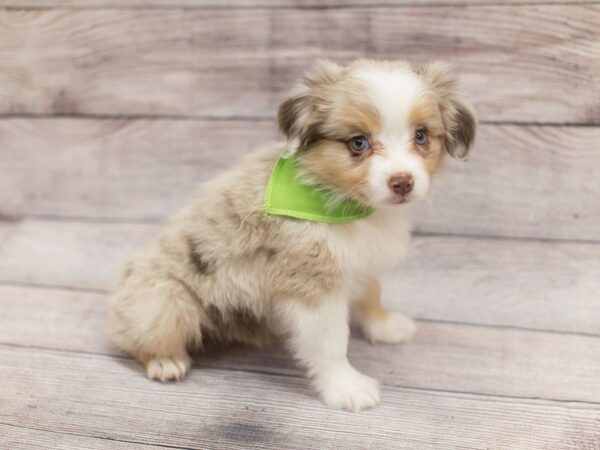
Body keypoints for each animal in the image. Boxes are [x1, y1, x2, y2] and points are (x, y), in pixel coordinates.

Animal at [106, 59, 474, 412]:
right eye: (358, 143)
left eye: (421, 136)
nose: (402, 182)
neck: (345, 205)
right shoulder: (312, 286)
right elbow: (332, 343)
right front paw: (346, 388)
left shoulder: (360, 260)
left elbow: (372, 293)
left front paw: (384, 326)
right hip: (165, 304)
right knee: (129, 336)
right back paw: (165, 361)